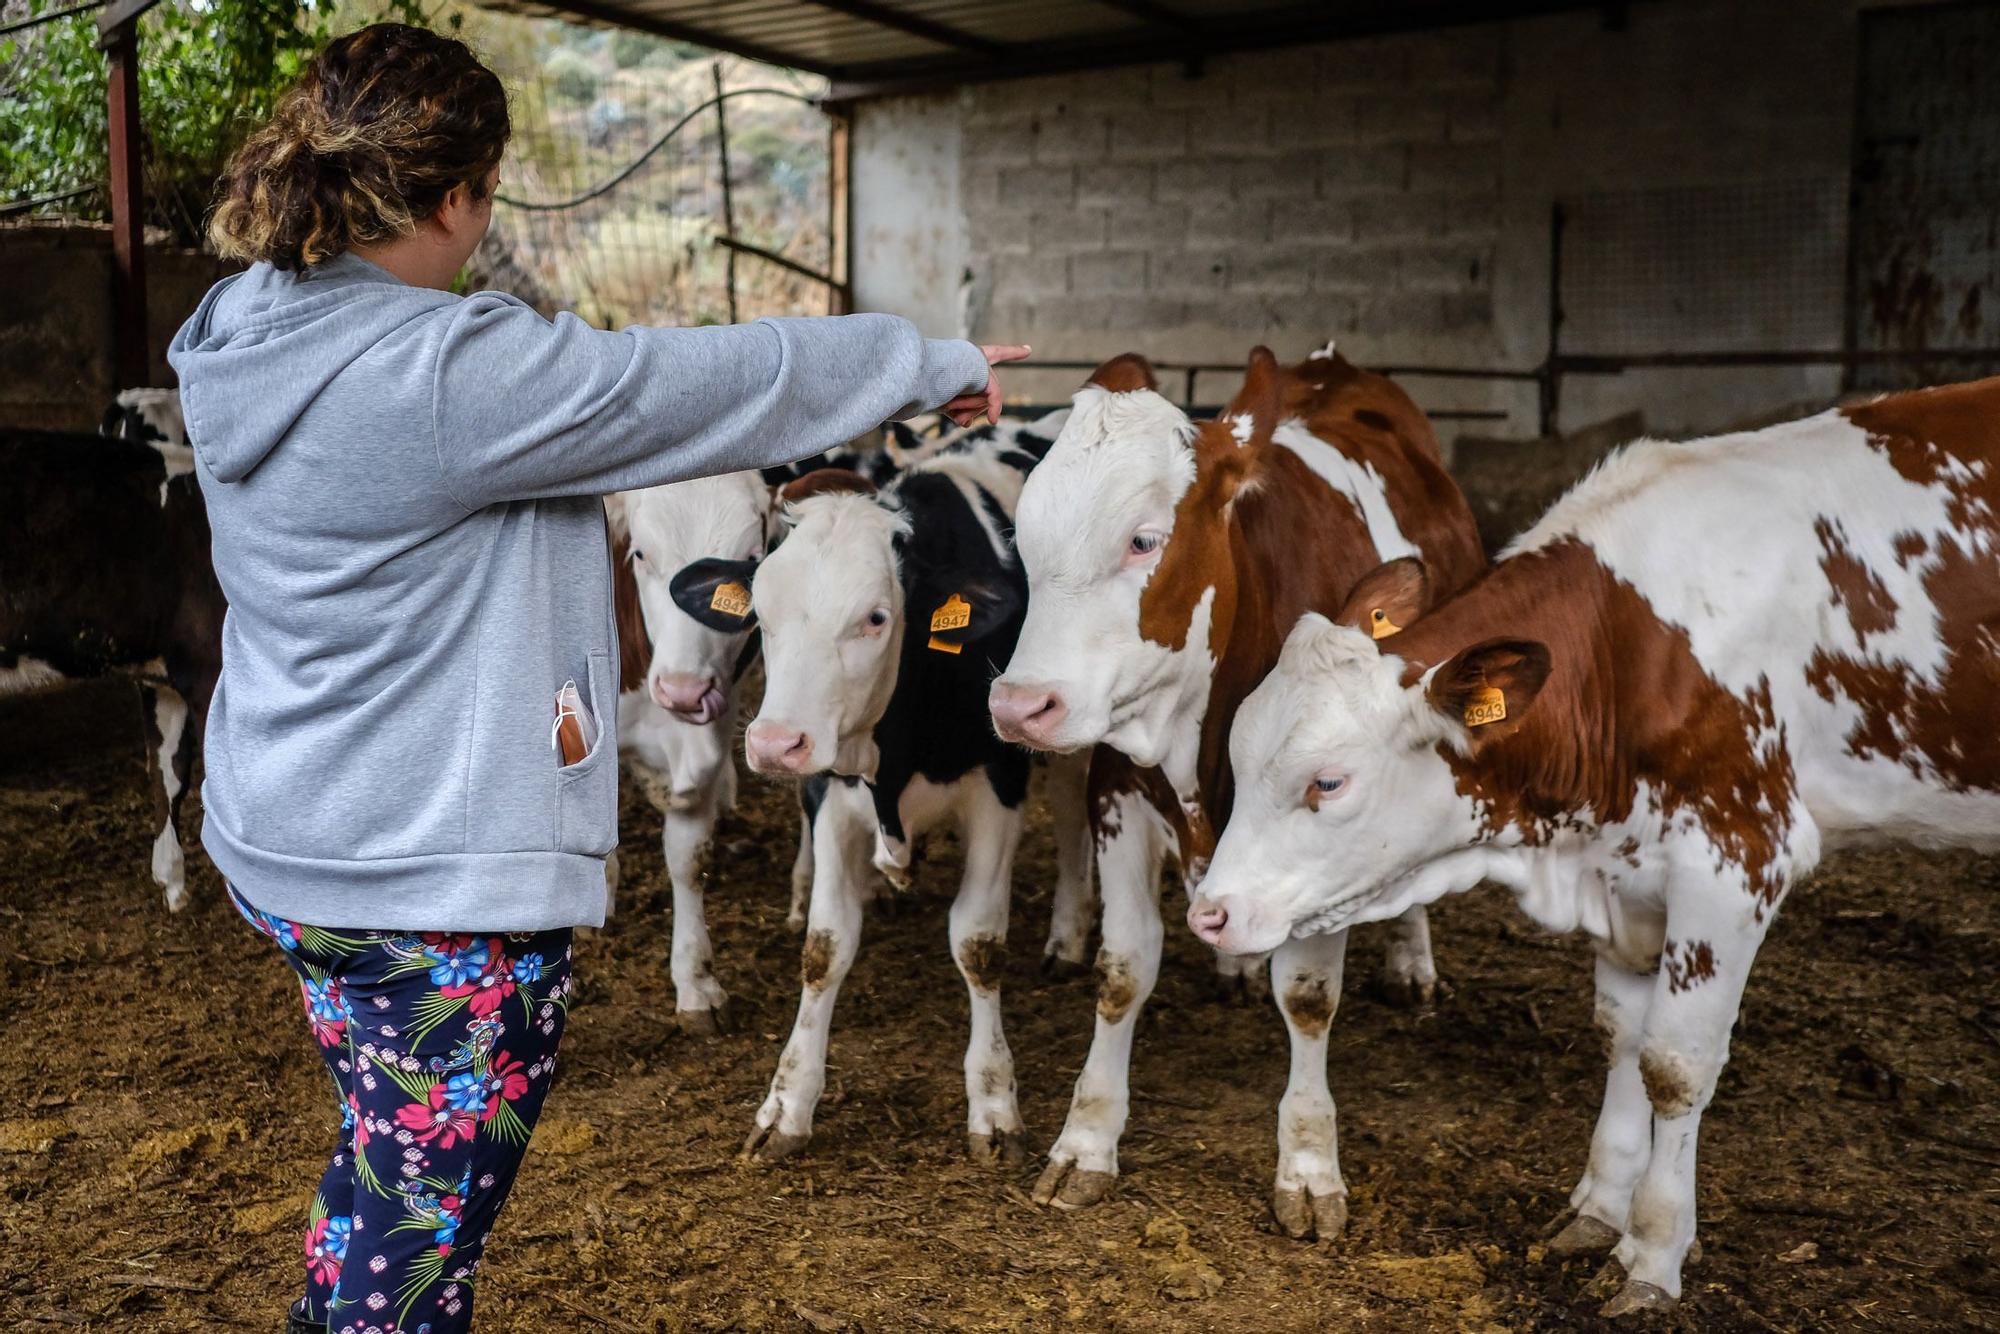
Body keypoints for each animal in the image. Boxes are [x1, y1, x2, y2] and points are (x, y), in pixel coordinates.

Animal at [676, 422, 1104, 1160]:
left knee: (1075, 811)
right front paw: (786, 1104)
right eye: (761, 612)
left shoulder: (997, 792)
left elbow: (978, 943)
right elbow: (824, 947)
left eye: (876, 618)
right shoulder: (831, 794)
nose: (775, 743)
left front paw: (994, 1101)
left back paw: (1067, 935)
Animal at [984, 348, 1488, 1240]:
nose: (1018, 706)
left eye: (1143, 540)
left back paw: (1411, 961)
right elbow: (1123, 970)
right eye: (1027, 535)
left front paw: (1310, 1167)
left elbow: (1310, 998)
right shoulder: (1119, 793)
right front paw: (1086, 1142)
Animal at [1176, 376, 2000, 1312]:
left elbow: (1675, 1064)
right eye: (1239, 749)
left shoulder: (1739, 858)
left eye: (1328, 782)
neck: (1636, 648)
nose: (1210, 914)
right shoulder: (1626, 868)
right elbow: (1621, 1037)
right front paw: (1600, 1211)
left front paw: (1652, 1252)